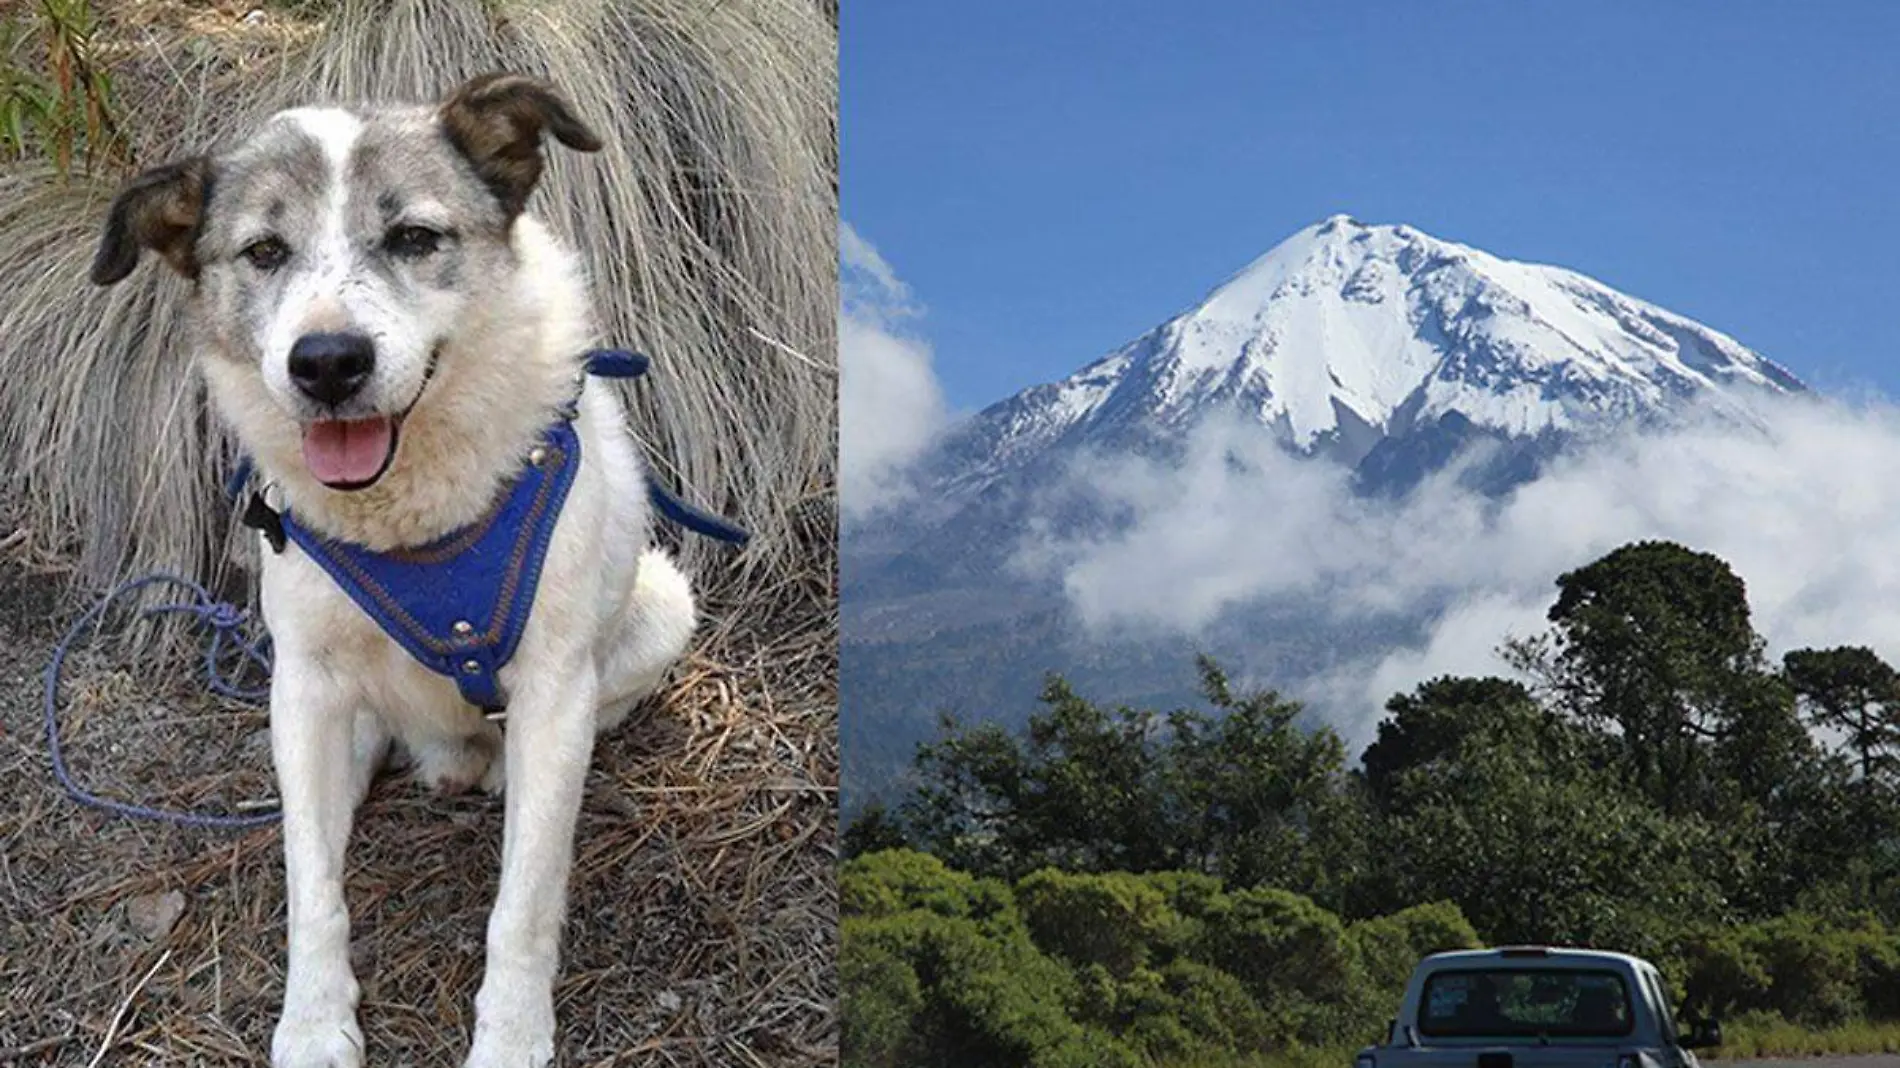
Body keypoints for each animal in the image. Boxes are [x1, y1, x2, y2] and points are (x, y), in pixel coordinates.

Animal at [89, 70, 699, 1056]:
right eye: (264, 251)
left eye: (414, 237)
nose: (328, 363)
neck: (408, 522)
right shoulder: (302, 688)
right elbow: (311, 886)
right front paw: (313, 1023)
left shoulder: (551, 681)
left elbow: (524, 901)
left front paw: (511, 1036)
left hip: (661, 603)